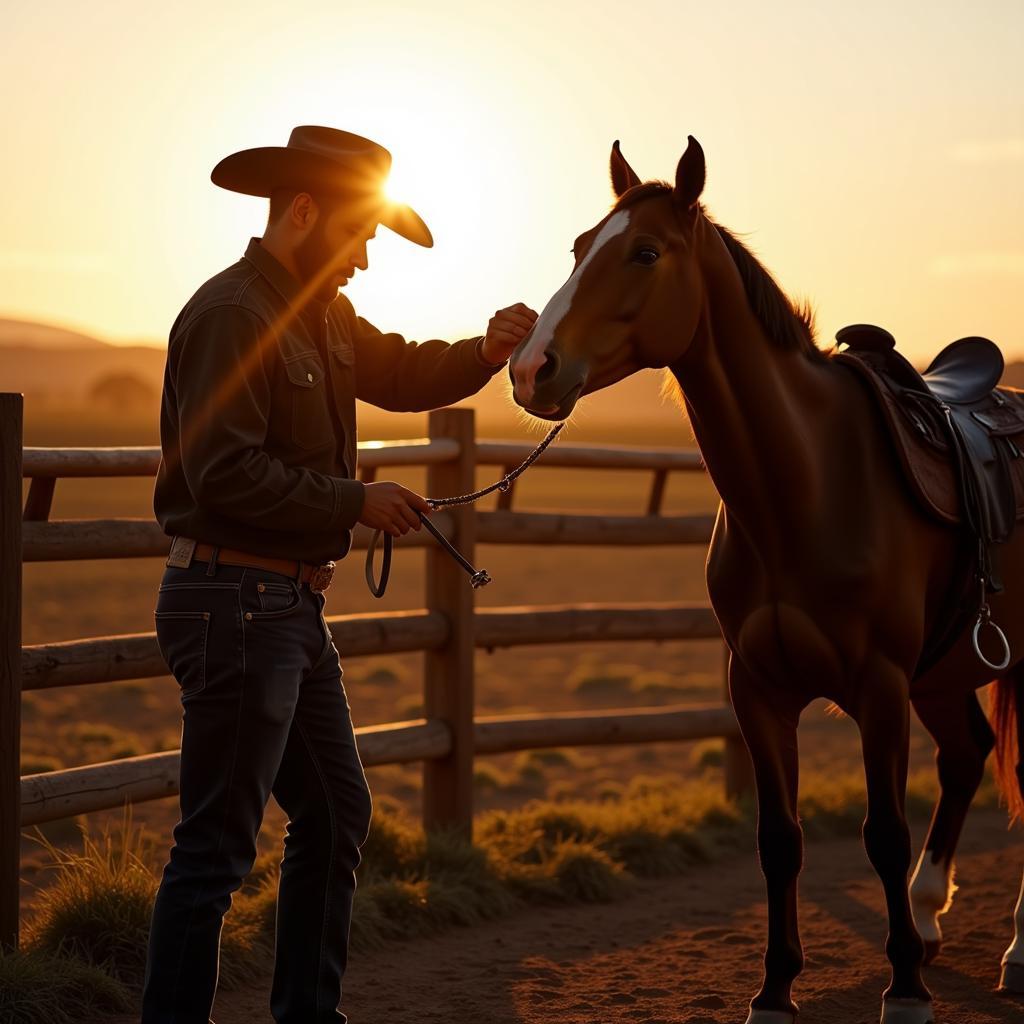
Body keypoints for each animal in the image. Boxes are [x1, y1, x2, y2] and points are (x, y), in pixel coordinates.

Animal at [507, 138, 1024, 1024]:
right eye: (578, 248)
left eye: (647, 253)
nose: (533, 368)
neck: (805, 484)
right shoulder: (758, 688)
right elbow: (779, 839)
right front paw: (777, 987)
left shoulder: (880, 687)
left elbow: (883, 832)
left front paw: (904, 988)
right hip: (946, 671)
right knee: (966, 755)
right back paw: (928, 916)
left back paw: (1008, 950)